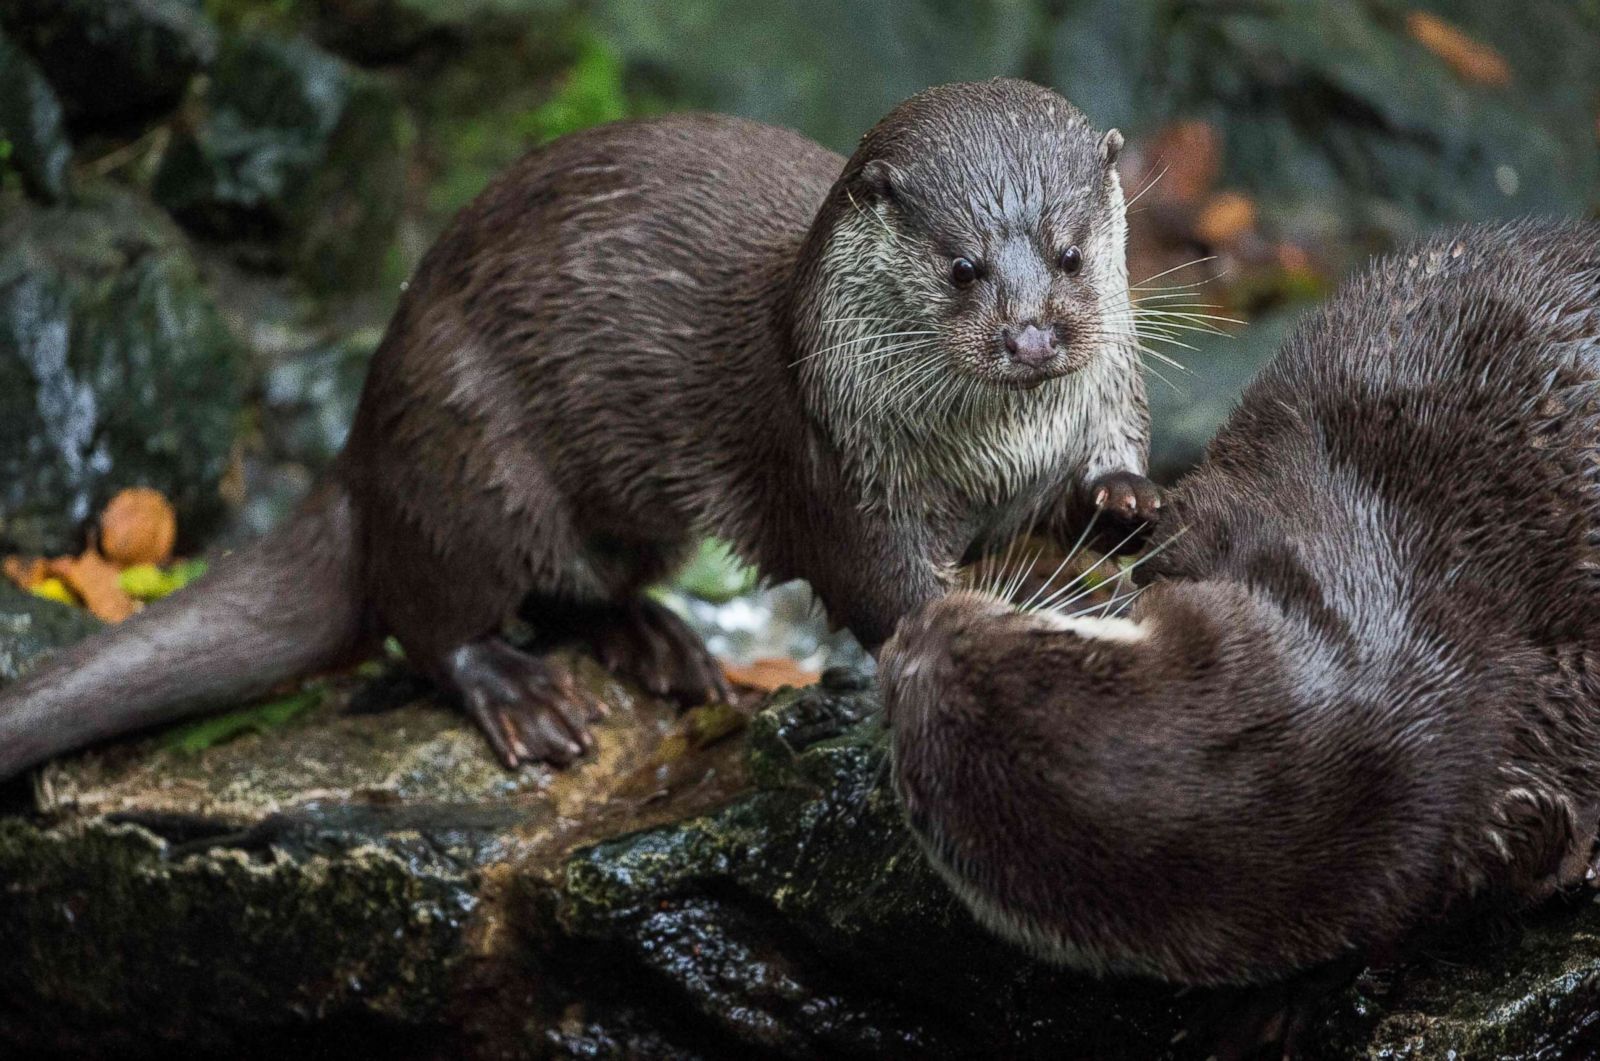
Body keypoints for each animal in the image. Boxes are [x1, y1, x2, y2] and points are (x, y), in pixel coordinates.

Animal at [0, 80, 1158, 780]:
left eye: (1068, 253)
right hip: (468, 456)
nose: (1031, 335)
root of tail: (363, 433)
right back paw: (522, 693)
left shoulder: (1100, 406)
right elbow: (887, 592)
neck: (991, 452)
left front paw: (1123, 503)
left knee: (576, 586)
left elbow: (1097, 484)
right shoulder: (833, 466)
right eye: (962, 266)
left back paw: (658, 643)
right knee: (425, 612)